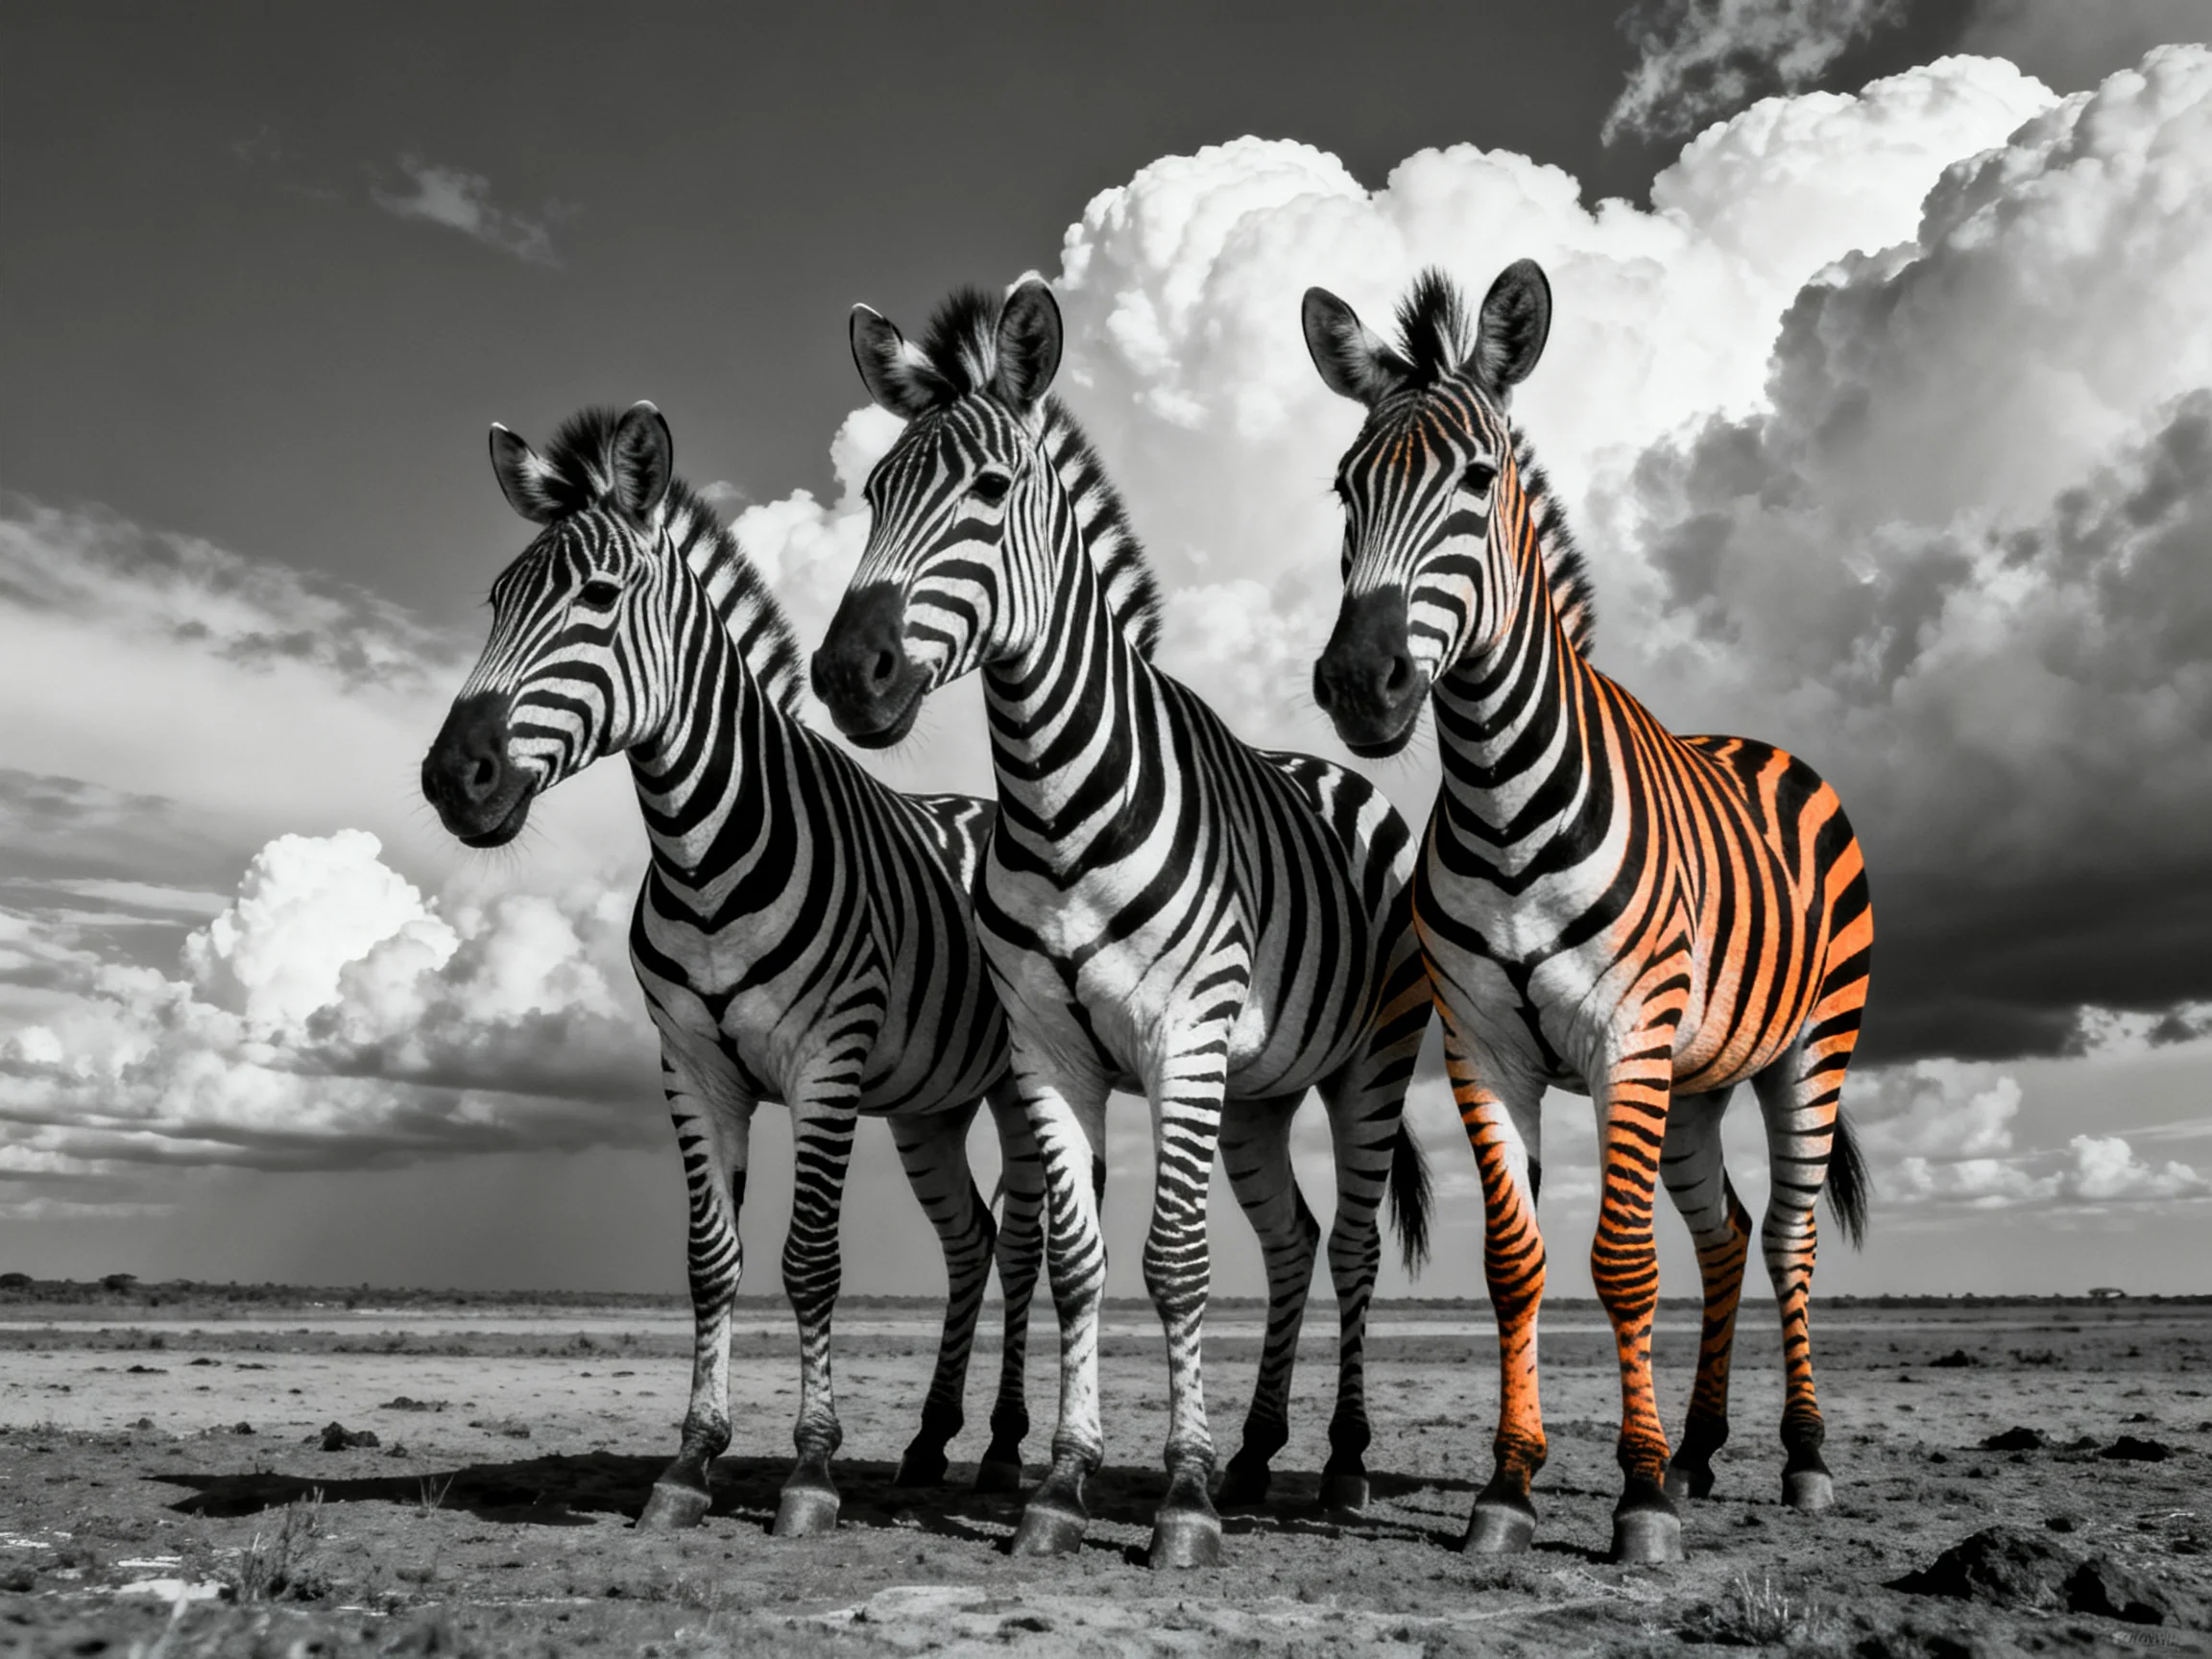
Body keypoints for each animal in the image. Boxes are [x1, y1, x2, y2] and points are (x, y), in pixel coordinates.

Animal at [419, 401, 1046, 1536]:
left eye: (598, 597)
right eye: (495, 603)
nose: (453, 778)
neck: (702, 852)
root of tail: (983, 806)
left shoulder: (826, 1066)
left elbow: (810, 1263)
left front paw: (810, 1471)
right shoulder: (691, 1067)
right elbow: (712, 1263)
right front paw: (688, 1463)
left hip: (1017, 1081)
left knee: (1022, 1244)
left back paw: (1003, 1451)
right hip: (929, 1103)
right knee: (972, 1240)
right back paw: (932, 1443)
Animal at [811, 277, 1436, 1569]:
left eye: (990, 492)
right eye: (873, 494)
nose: (849, 676)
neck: (1056, 806)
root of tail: (1336, 771)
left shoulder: (1181, 1042)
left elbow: (1177, 1263)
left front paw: (1182, 1499)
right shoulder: (1052, 1054)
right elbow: (1079, 1265)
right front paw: (1062, 1481)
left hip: (1367, 1065)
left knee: (1352, 1244)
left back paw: (1339, 1467)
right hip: (1256, 1092)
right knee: (1295, 1237)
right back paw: (1257, 1456)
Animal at [1301, 262, 1873, 1563]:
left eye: (1477, 479)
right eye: (1345, 489)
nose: (1360, 687)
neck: (1505, 798)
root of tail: (1757, 744)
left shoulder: (1625, 1039)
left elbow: (1620, 1263)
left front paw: (1637, 1497)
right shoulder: (1483, 1045)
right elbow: (1515, 1262)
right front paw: (1511, 1485)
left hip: (1806, 1049)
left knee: (1787, 1238)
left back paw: (1802, 1460)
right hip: (1699, 1076)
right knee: (1725, 1236)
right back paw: (1704, 1451)